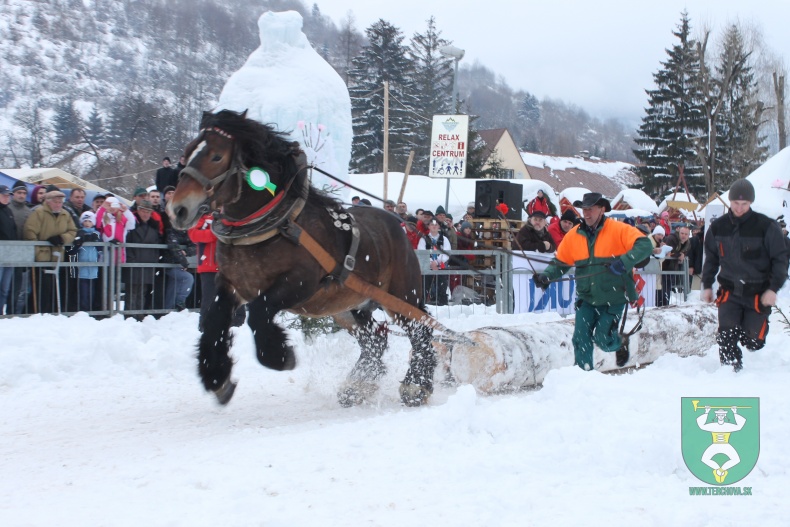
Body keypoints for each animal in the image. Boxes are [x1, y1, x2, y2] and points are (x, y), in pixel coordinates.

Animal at [169, 109, 440, 408]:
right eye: (188, 152)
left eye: (216, 156)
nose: (178, 209)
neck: (274, 224)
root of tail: (401, 224)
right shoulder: (232, 283)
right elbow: (213, 319)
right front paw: (217, 377)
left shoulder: (300, 283)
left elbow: (259, 313)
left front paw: (278, 355)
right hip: (350, 306)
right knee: (376, 339)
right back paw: (357, 386)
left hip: (402, 296)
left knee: (421, 331)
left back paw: (416, 386)